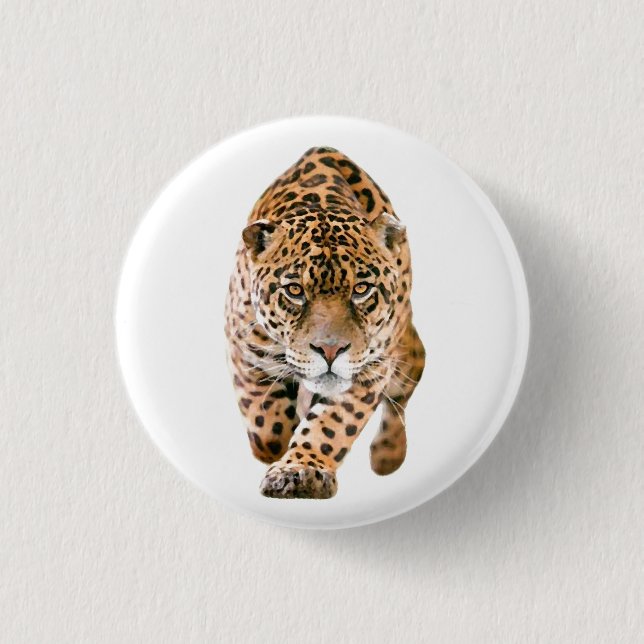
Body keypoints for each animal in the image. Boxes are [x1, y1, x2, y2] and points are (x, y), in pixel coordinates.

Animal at [224, 147, 425, 499]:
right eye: (295, 291)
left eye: (361, 289)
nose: (330, 351)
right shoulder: (245, 351)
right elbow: (267, 429)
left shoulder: (370, 369)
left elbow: (331, 424)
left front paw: (301, 471)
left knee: (405, 386)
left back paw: (388, 454)